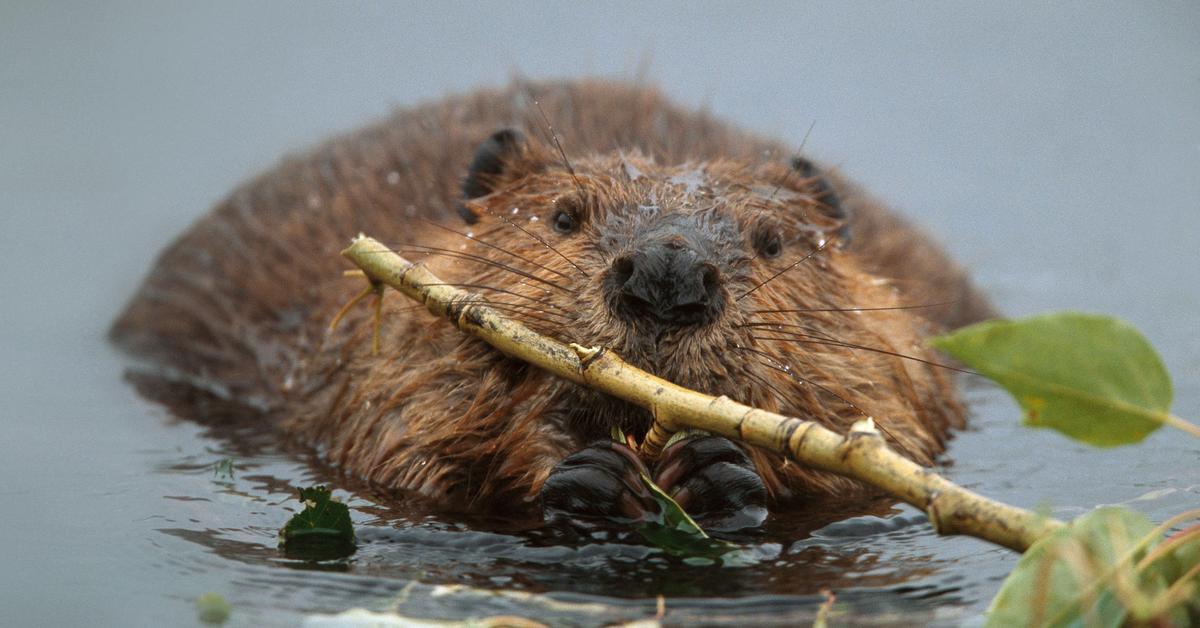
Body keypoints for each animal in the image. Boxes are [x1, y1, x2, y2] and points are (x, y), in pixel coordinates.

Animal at [112, 78, 993, 530]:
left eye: (772, 239)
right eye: (565, 216)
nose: (667, 276)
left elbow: (887, 438)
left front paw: (717, 470)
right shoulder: (364, 365)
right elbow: (394, 426)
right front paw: (589, 475)